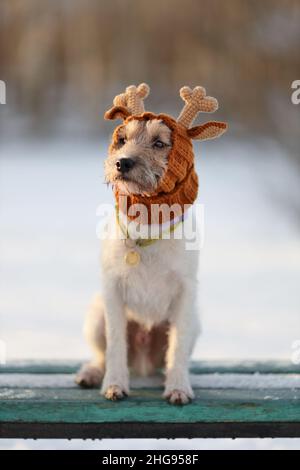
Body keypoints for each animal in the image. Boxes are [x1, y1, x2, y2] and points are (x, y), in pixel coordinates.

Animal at [76, 83, 226, 404]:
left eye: (159, 143)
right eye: (122, 139)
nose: (122, 162)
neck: (147, 224)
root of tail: (142, 363)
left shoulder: (185, 293)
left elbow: (177, 347)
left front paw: (179, 387)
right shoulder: (112, 290)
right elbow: (116, 344)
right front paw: (114, 384)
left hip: (194, 321)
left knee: (167, 358)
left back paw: (165, 377)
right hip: (95, 316)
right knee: (101, 354)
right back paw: (92, 373)